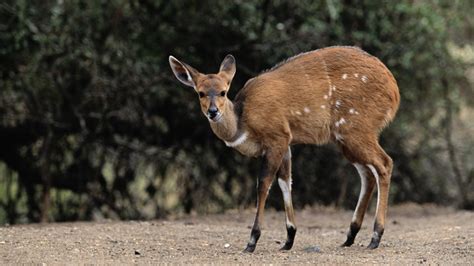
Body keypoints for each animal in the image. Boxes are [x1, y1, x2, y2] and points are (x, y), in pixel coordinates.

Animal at [169, 46, 400, 252]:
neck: (242, 122)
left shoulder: (277, 139)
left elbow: (264, 184)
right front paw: (289, 239)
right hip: (344, 139)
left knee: (384, 164)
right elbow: (285, 182)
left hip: (355, 131)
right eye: (200, 93)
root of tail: (393, 88)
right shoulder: (286, 145)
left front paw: (252, 242)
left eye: (223, 92)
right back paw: (350, 236)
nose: (213, 112)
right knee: (367, 174)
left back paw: (375, 237)